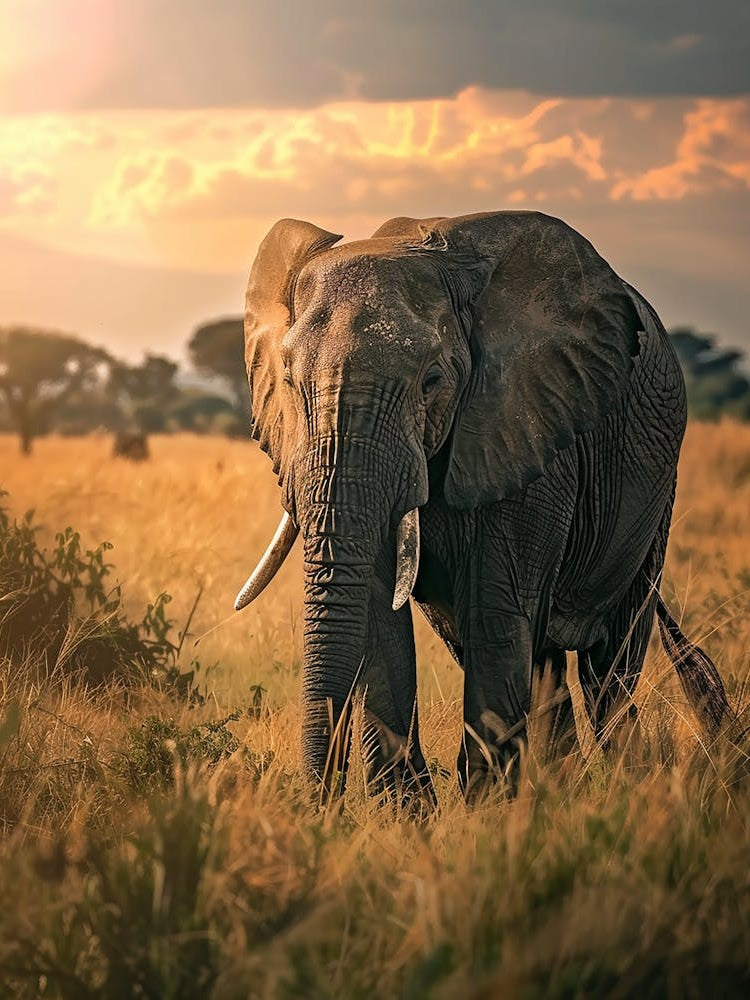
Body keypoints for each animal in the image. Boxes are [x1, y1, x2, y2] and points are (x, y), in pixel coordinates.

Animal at [234, 210, 729, 805]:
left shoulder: (531, 430)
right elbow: (380, 614)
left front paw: (485, 812)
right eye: (289, 381)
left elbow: (495, 609)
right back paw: (558, 795)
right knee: (542, 664)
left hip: (654, 497)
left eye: (431, 381)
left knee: (609, 661)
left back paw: (623, 788)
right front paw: (410, 815)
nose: (320, 804)